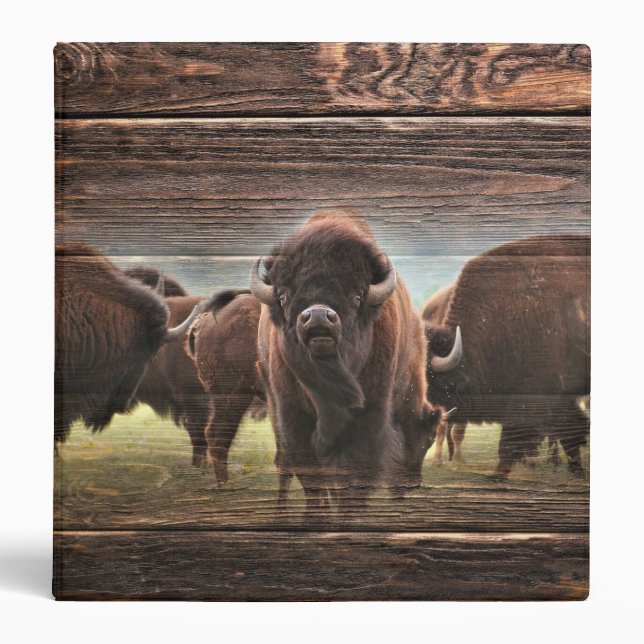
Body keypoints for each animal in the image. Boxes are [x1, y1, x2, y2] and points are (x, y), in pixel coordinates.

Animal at [250, 211, 442, 510]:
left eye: (357, 295)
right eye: (283, 294)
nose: (318, 317)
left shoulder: (369, 414)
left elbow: (351, 475)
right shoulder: (293, 416)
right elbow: (312, 476)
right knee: (286, 465)